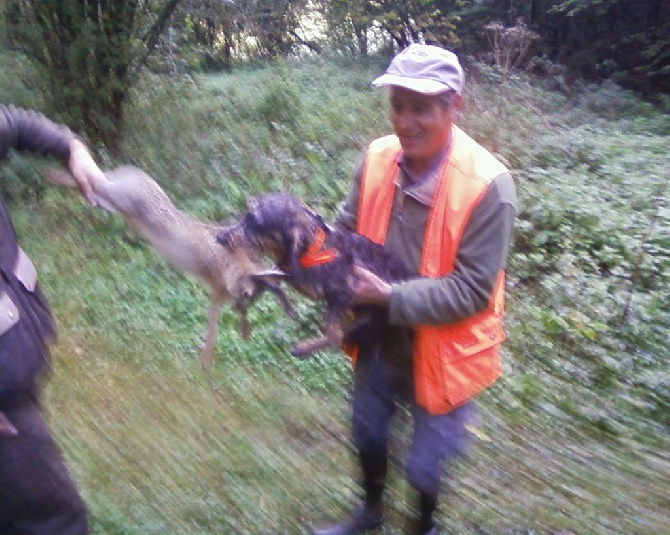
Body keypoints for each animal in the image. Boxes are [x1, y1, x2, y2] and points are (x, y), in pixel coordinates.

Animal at [219, 194, 410, 360]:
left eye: (257, 222)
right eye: (246, 215)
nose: (221, 237)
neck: (313, 249)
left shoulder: (339, 291)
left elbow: (333, 333)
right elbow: (269, 276)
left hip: (367, 319)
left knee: (342, 334)